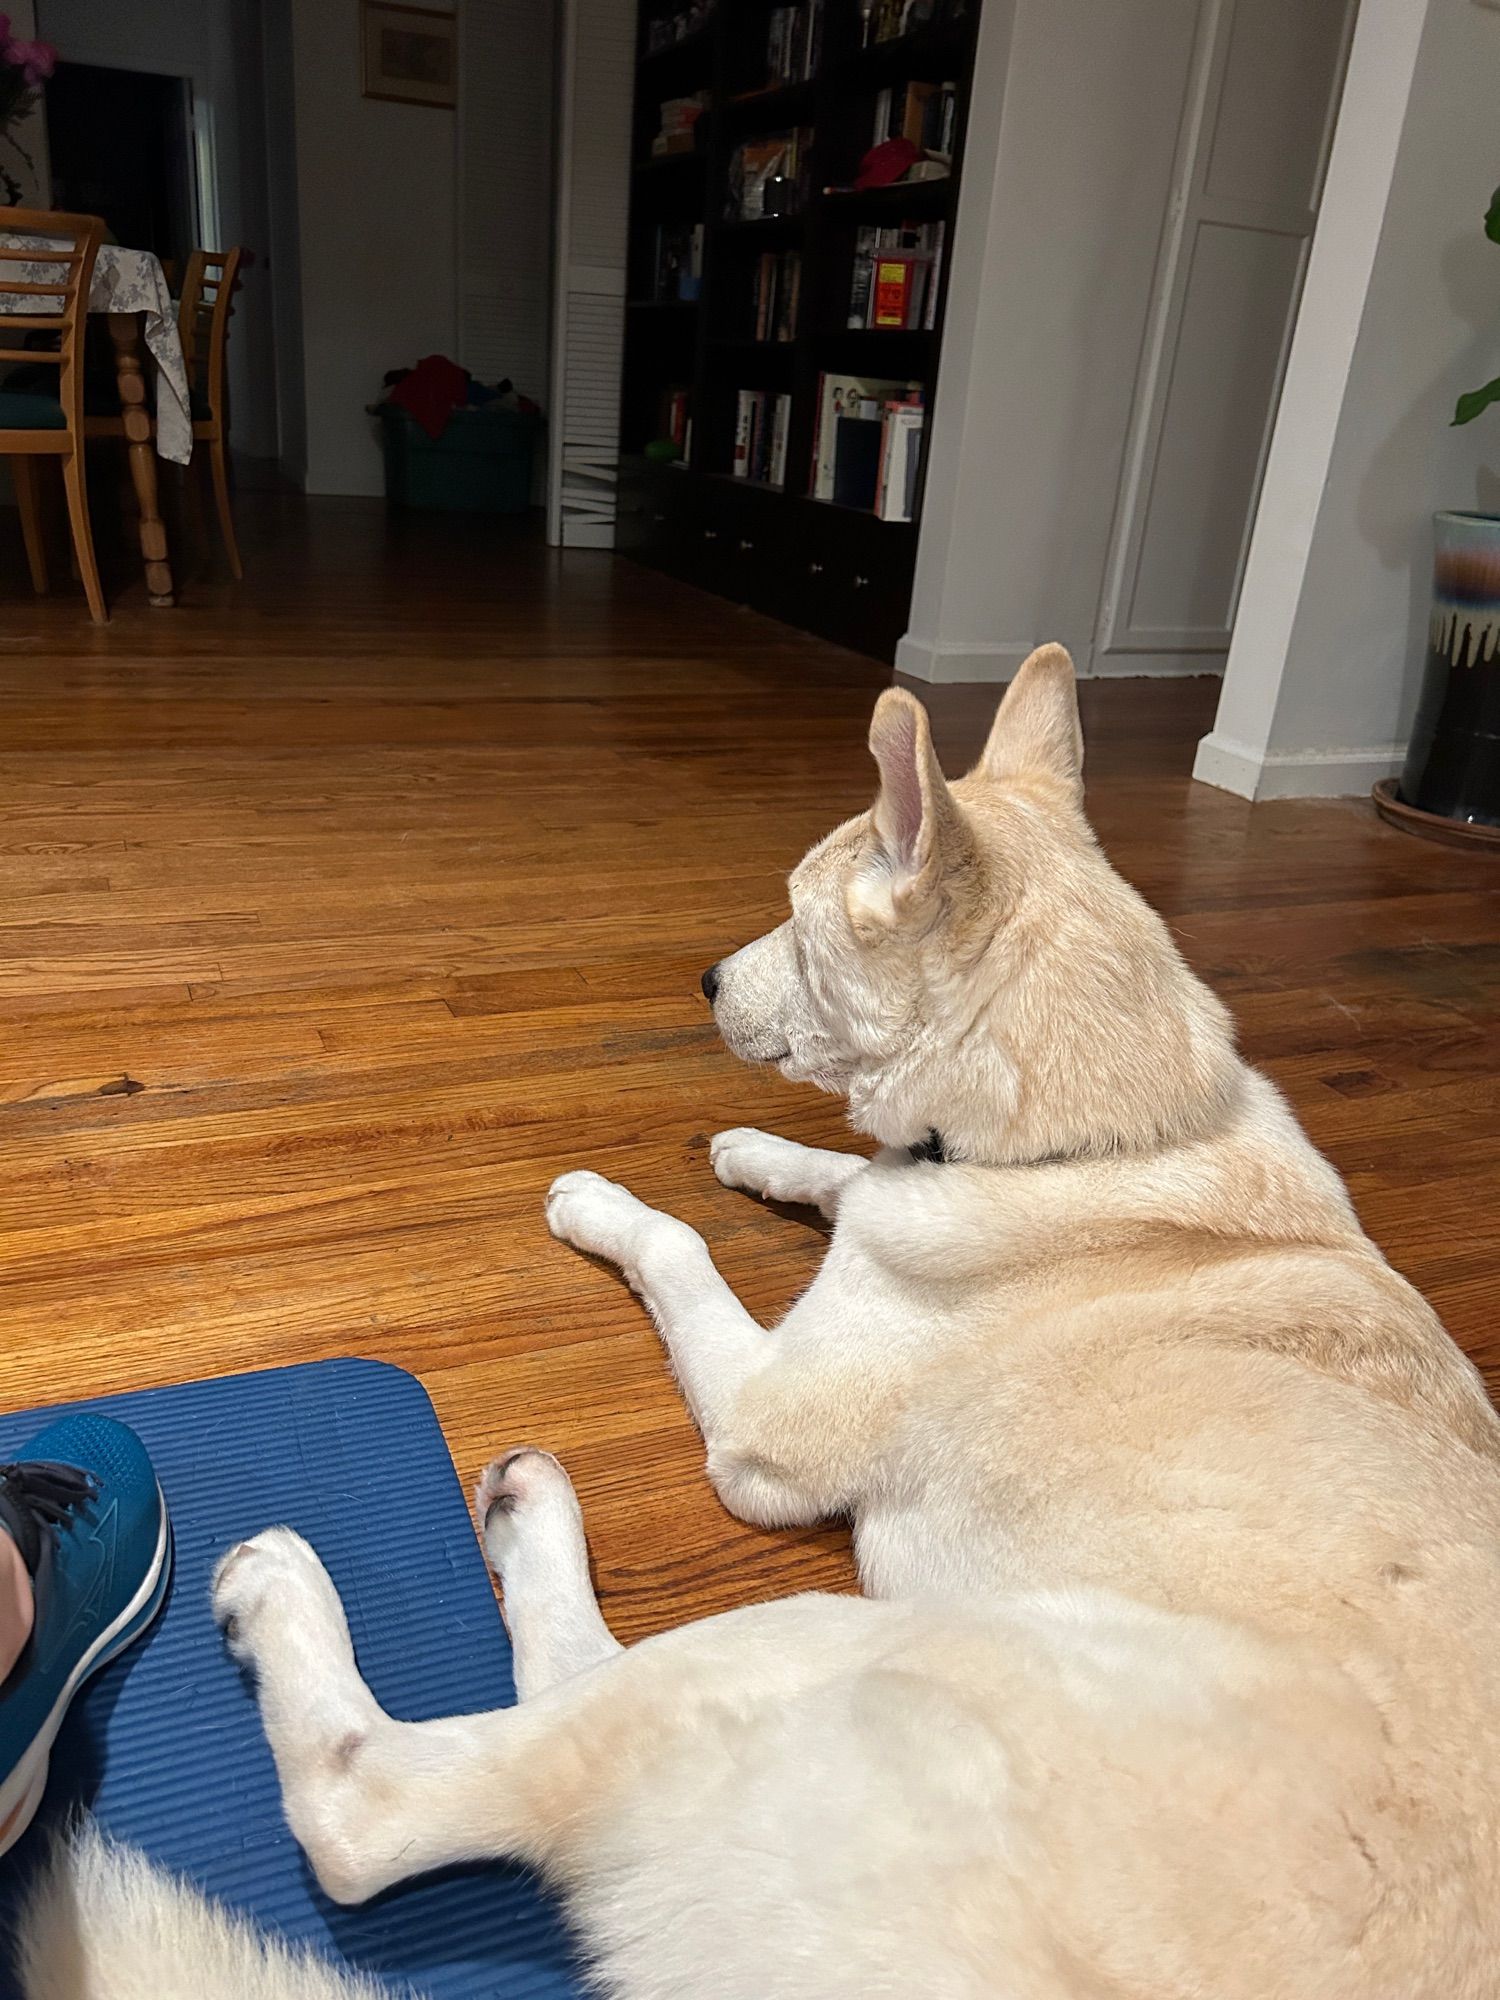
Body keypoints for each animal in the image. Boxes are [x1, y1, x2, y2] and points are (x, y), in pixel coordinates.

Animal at [20, 648, 1500, 1992]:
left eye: (793, 919)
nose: (707, 981)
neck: (1103, 1137)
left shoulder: (762, 1428)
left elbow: (683, 1247)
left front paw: (612, 1202)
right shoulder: (901, 1189)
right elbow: (850, 1174)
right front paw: (754, 1152)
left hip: (810, 1648)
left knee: (377, 1800)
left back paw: (340, 1578)